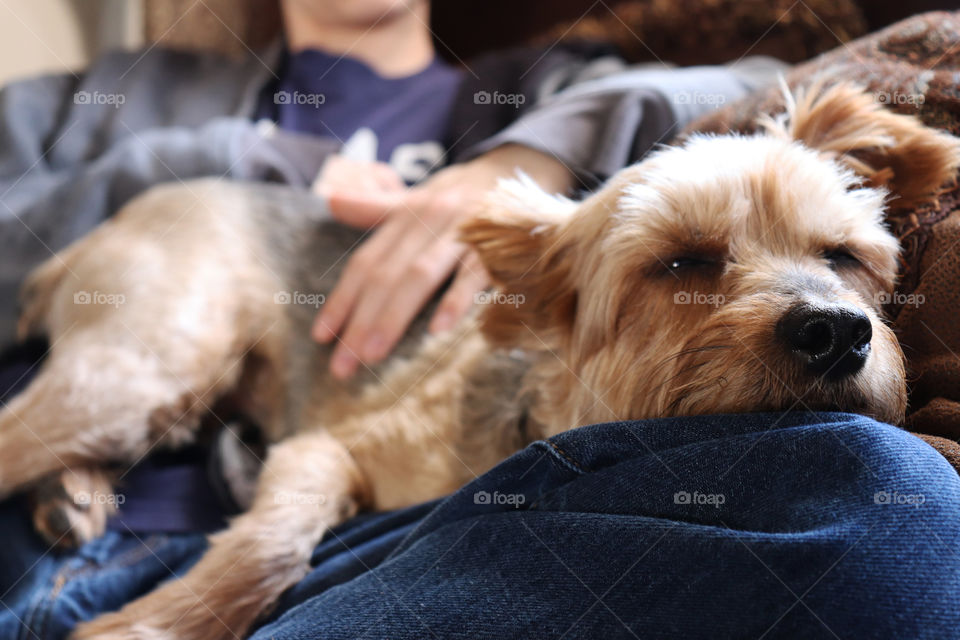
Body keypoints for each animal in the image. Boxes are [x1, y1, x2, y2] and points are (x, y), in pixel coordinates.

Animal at [1, 85, 960, 640]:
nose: (836, 332)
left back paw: (71, 495)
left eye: (844, 257)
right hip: (146, 363)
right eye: (681, 262)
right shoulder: (325, 449)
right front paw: (155, 627)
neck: (534, 412)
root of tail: (108, 225)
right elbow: (270, 542)